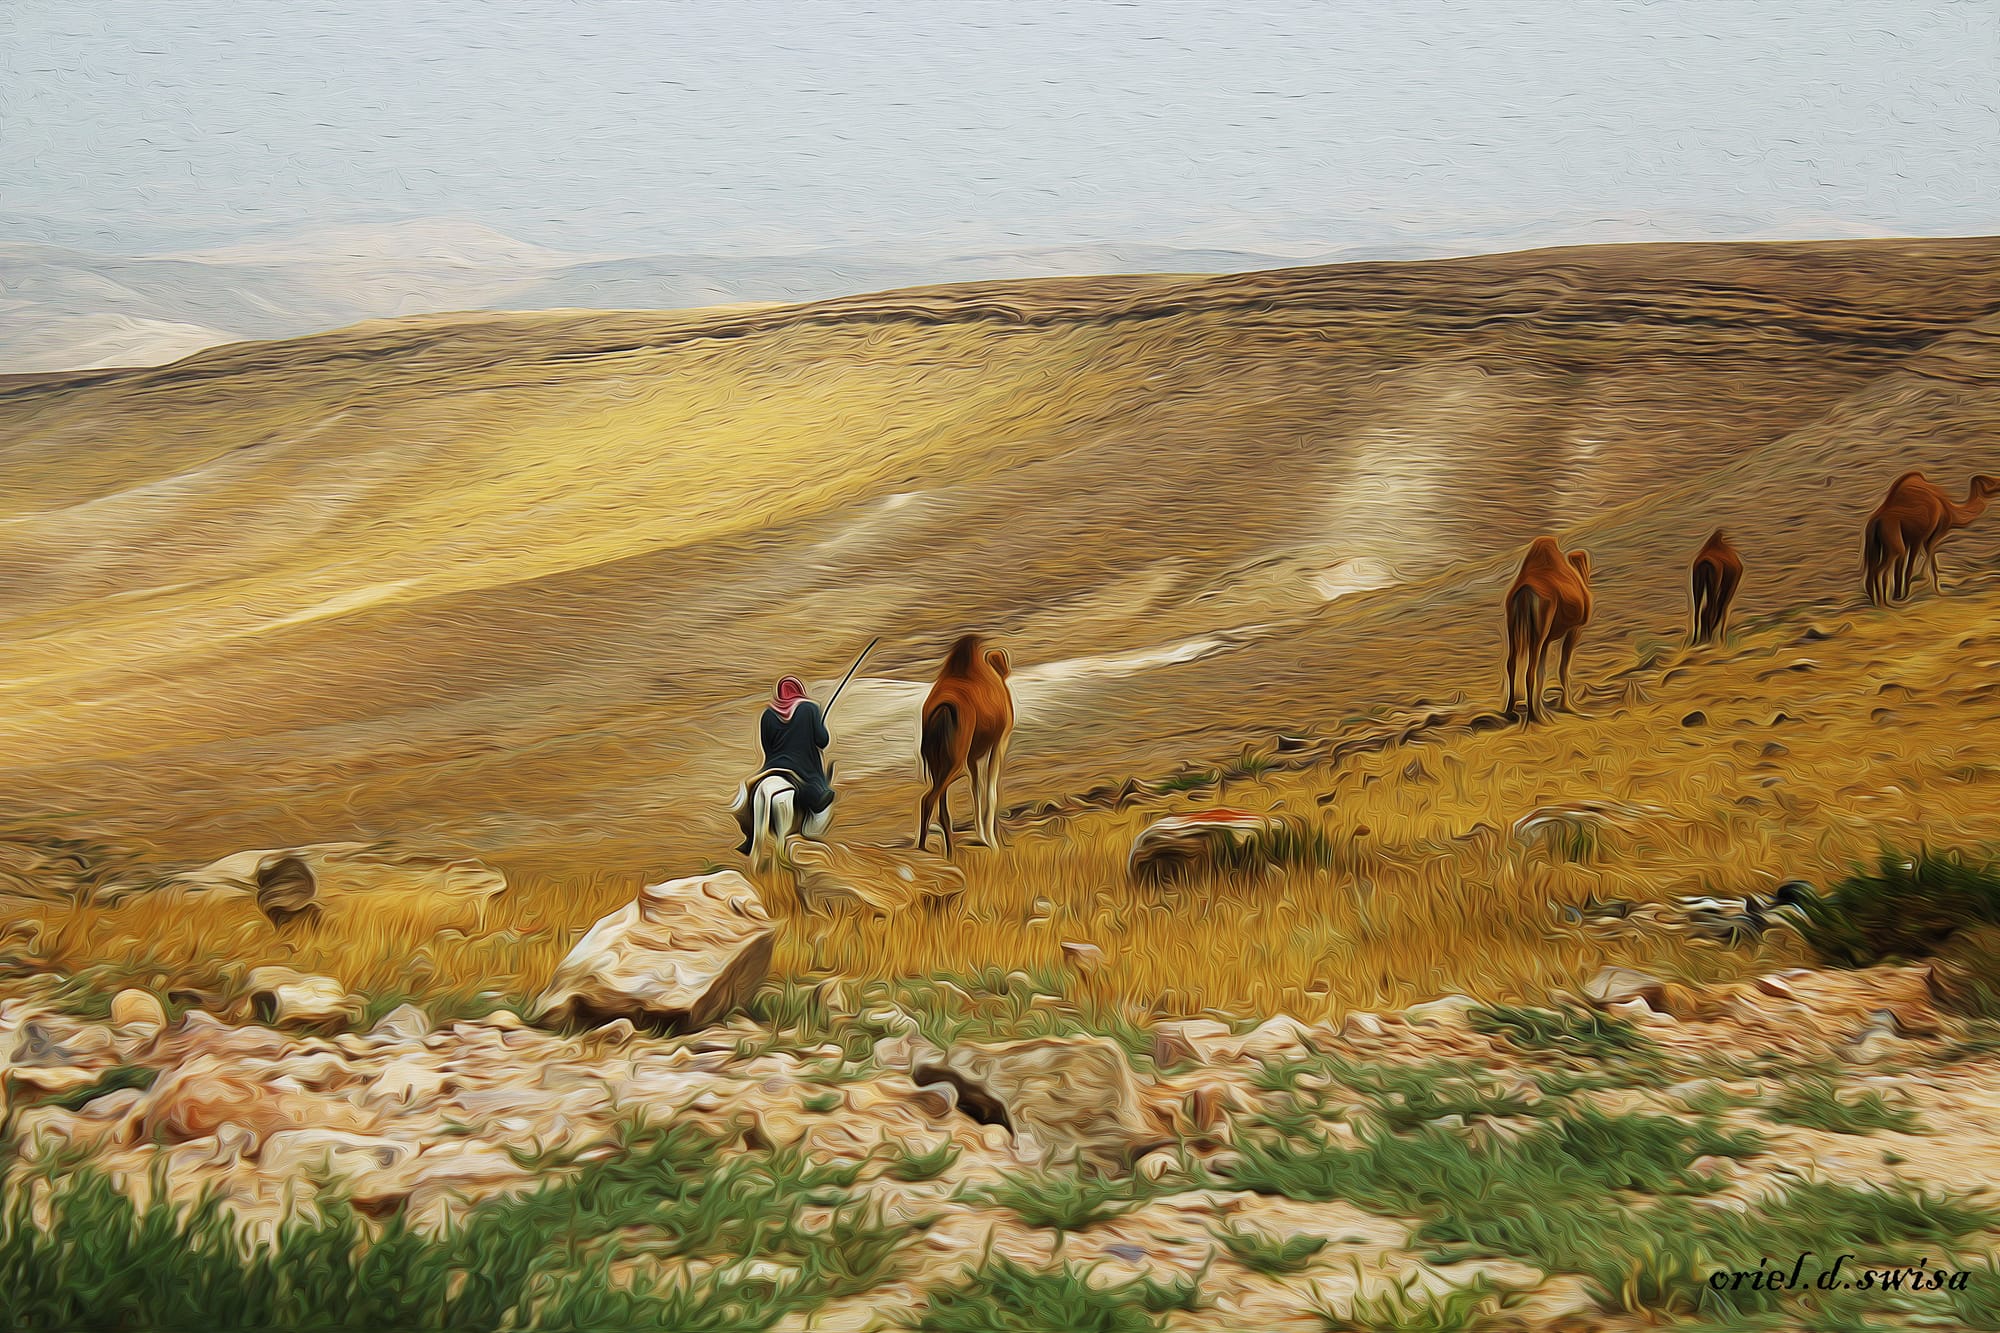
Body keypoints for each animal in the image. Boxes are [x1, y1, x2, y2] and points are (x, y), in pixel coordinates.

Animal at [916, 632, 1016, 852]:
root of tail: (943, 710)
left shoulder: (973, 755)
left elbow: (976, 789)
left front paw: (984, 838)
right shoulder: (999, 742)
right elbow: (990, 790)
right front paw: (993, 841)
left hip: (935, 761)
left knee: (940, 803)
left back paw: (942, 849)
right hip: (955, 761)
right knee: (930, 798)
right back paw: (927, 848)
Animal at [1504, 536, 1592, 728]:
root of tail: (1525, 592)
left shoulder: (1549, 638)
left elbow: (1543, 670)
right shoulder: (1574, 629)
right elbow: (1563, 666)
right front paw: (1567, 705)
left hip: (1512, 623)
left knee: (1512, 662)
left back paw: (1509, 710)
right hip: (1540, 627)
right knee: (1530, 667)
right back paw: (1535, 716)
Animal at [1856, 470, 2000, 604]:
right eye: (1992, 481)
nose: (1998, 481)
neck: (1950, 511)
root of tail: (1875, 521)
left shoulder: (1910, 539)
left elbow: (1902, 567)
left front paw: (1898, 595)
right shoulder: (1924, 536)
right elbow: (1922, 562)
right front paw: (1935, 590)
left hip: (1877, 542)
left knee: (1872, 569)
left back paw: (1877, 601)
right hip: (1892, 539)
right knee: (1880, 569)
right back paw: (1882, 603)